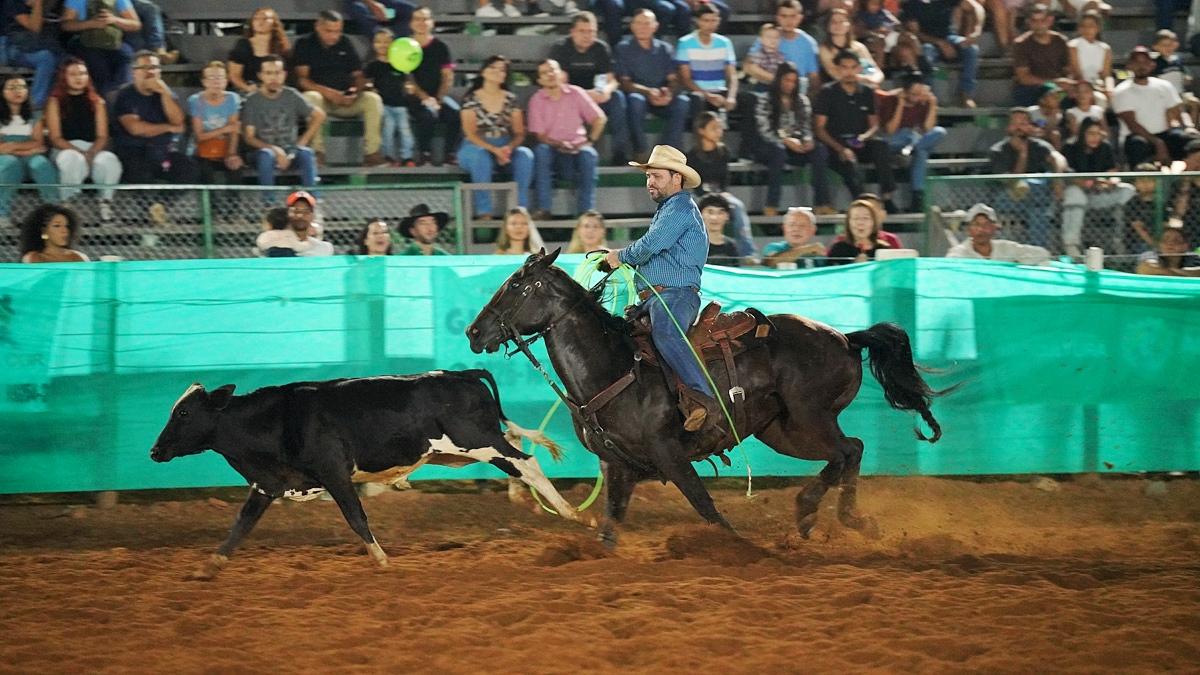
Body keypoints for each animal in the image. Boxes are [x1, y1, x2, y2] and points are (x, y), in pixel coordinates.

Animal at [150, 369, 590, 569]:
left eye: (183, 412)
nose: (154, 451)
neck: (276, 419)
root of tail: (461, 373)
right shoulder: (267, 484)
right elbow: (240, 524)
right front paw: (209, 566)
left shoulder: (334, 473)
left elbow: (356, 518)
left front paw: (382, 560)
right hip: (471, 446)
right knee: (518, 455)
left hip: (477, 440)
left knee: (526, 462)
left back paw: (574, 515)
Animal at [468, 249, 945, 542]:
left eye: (516, 285)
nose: (474, 332)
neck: (612, 367)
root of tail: (846, 338)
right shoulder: (618, 465)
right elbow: (610, 526)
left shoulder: (669, 453)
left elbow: (707, 508)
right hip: (784, 432)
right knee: (852, 450)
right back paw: (840, 519)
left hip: (812, 418)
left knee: (848, 451)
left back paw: (817, 512)